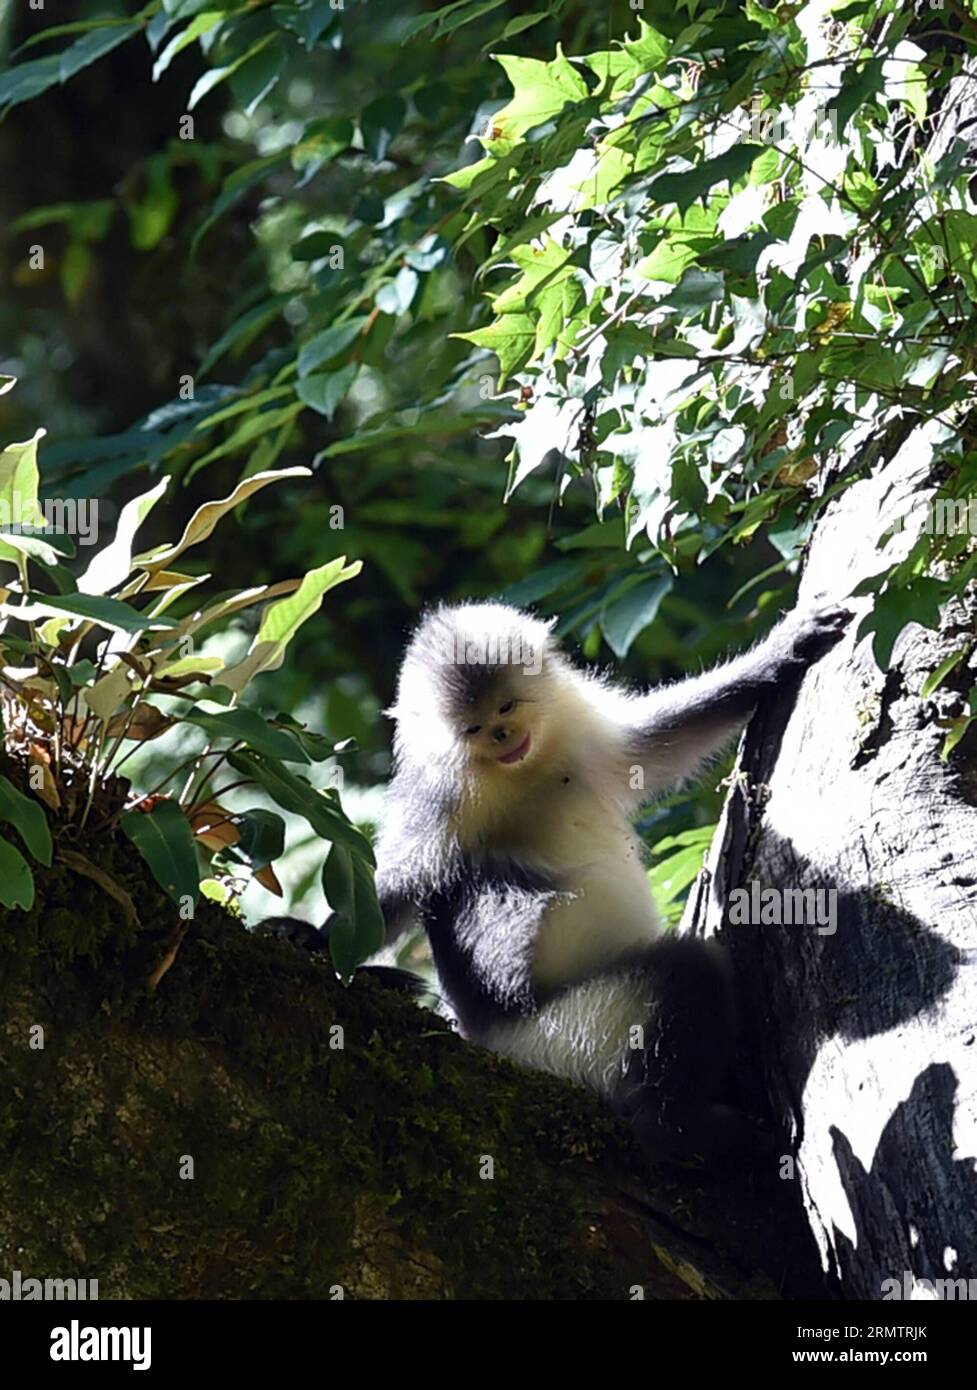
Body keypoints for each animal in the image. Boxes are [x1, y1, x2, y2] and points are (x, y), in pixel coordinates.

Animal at [372, 597, 850, 1162]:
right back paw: (679, 1126)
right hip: (567, 1038)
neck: (521, 772)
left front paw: (784, 649)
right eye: (473, 730)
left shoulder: (587, 732)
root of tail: (488, 1042)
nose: (502, 737)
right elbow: (402, 883)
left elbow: (659, 742)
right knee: (681, 969)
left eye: (506, 709)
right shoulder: (438, 798)